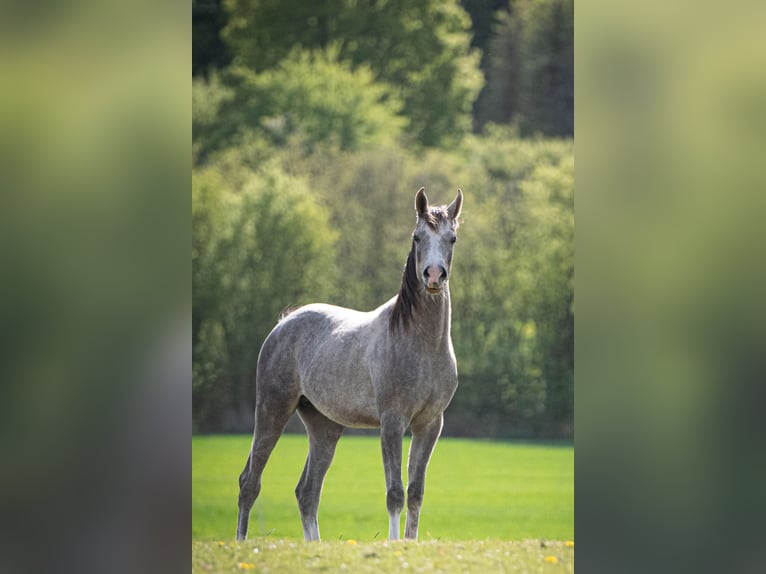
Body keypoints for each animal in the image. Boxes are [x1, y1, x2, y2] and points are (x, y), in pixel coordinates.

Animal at [236, 187, 463, 542]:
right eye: (417, 237)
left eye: (451, 238)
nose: (434, 275)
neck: (421, 343)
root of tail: (285, 323)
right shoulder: (392, 421)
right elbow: (395, 493)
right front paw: (394, 544)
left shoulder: (429, 424)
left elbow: (415, 493)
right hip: (272, 409)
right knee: (250, 482)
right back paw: (241, 542)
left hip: (324, 427)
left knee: (307, 492)